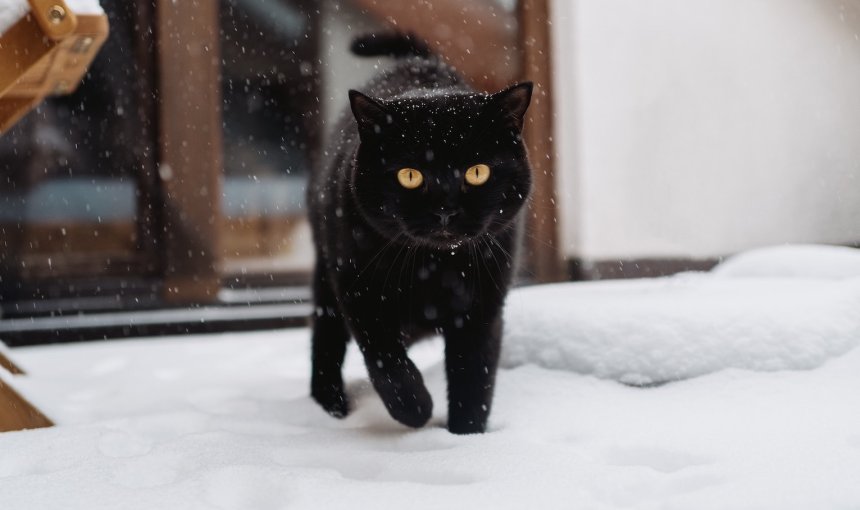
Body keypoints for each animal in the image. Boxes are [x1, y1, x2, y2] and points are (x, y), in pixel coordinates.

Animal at [310, 32, 536, 434]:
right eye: (410, 175)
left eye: (477, 172)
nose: (445, 209)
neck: (433, 269)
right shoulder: (359, 293)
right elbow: (386, 361)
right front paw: (415, 409)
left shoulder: (482, 308)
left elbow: (473, 377)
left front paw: (466, 436)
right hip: (326, 274)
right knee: (326, 338)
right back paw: (331, 404)